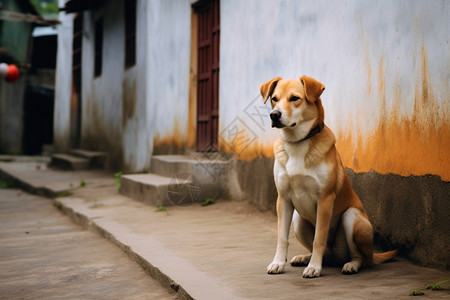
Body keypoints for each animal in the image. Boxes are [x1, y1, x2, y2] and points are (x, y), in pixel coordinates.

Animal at [258, 76, 396, 278]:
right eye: (274, 99)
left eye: (294, 98)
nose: (274, 115)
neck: (298, 143)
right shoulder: (283, 199)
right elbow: (282, 237)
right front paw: (278, 263)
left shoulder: (325, 199)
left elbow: (319, 239)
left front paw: (315, 267)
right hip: (298, 220)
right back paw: (305, 258)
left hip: (352, 217)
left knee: (360, 258)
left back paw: (350, 265)